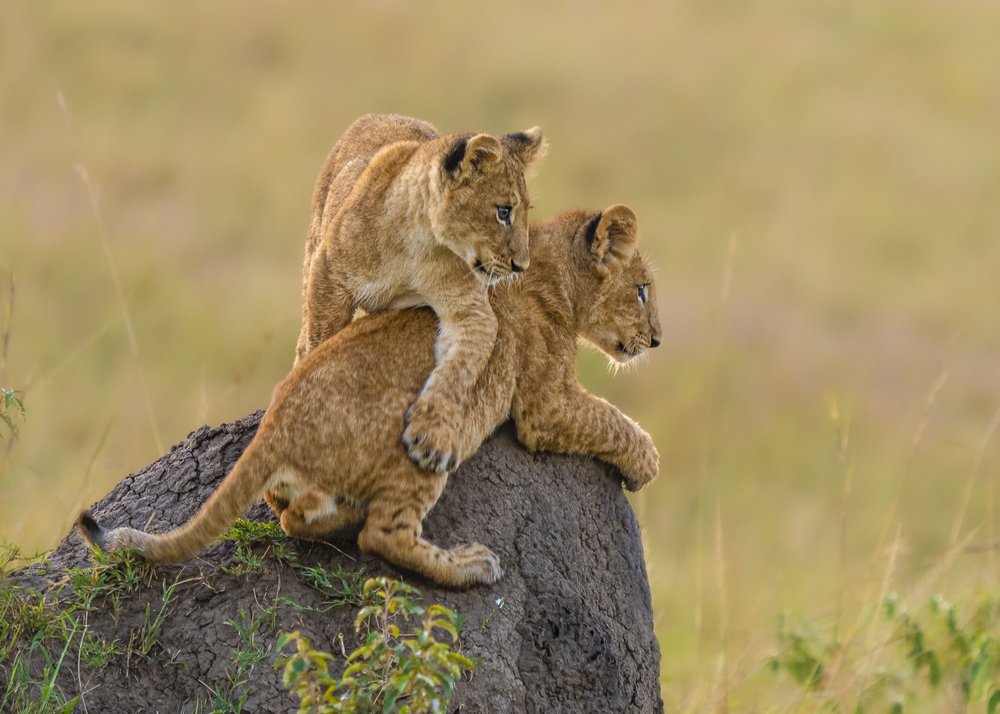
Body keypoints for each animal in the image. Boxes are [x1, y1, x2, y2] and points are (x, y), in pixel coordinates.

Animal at [79, 204, 661, 589]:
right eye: (641, 290)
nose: (657, 340)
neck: (552, 273)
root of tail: (275, 427)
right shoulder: (546, 405)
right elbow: (612, 421)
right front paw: (646, 465)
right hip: (421, 440)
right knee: (384, 537)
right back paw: (467, 565)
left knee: (293, 519)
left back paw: (338, 520)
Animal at [296, 113, 546, 474]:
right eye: (503, 211)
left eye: (526, 211)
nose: (521, 266)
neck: (419, 244)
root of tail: (379, 114)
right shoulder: (328, 275)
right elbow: (321, 341)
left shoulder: (471, 311)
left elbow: (460, 370)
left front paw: (433, 437)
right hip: (313, 248)